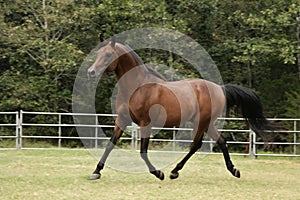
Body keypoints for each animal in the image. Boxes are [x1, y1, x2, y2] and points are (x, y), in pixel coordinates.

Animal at [87, 36, 272, 181]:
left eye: (108, 54)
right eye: (97, 54)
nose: (91, 72)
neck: (137, 87)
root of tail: (220, 88)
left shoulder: (146, 123)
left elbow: (143, 151)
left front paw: (158, 173)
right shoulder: (122, 120)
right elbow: (110, 145)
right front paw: (96, 172)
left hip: (201, 121)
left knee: (196, 144)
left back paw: (174, 171)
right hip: (207, 123)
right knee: (220, 141)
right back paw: (233, 170)